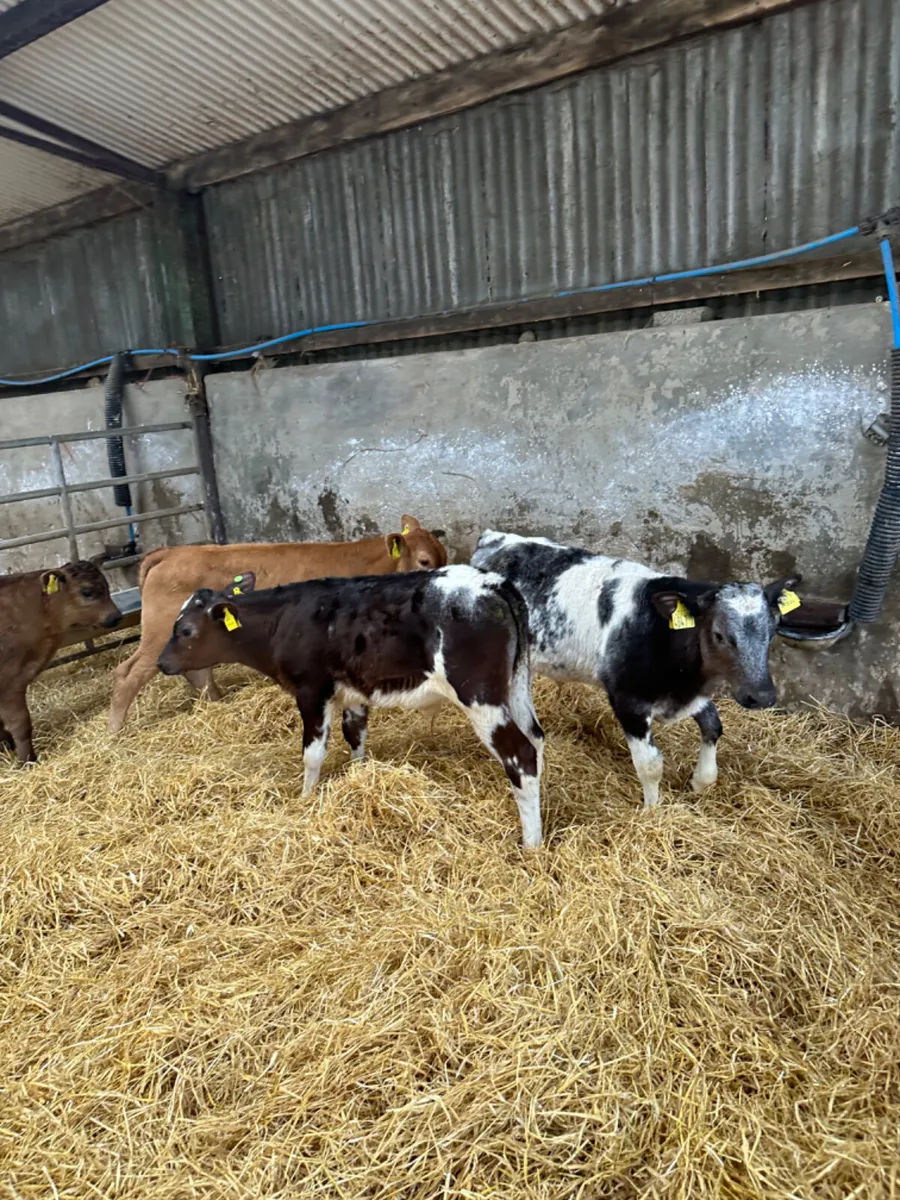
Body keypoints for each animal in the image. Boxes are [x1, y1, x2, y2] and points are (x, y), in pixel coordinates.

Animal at [0, 559, 122, 763]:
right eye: (87, 591)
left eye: (106, 585)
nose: (116, 616)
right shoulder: (10, 682)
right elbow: (20, 724)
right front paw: (27, 760)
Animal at [107, 515, 448, 735]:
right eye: (424, 561)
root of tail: (170, 552)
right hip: (159, 635)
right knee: (127, 673)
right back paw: (114, 732)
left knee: (198, 672)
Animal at [157, 565, 546, 848]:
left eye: (186, 630)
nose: (161, 663)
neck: (283, 621)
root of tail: (492, 583)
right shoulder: (354, 694)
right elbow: (355, 737)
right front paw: (358, 779)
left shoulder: (312, 690)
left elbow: (313, 754)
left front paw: (306, 799)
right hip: (516, 686)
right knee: (536, 739)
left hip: (479, 696)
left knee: (520, 754)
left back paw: (531, 843)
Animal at [471, 530, 800, 809]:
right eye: (720, 635)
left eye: (773, 629)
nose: (762, 696)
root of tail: (494, 539)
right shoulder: (628, 701)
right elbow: (651, 765)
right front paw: (652, 812)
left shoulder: (688, 696)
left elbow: (713, 726)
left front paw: (699, 782)